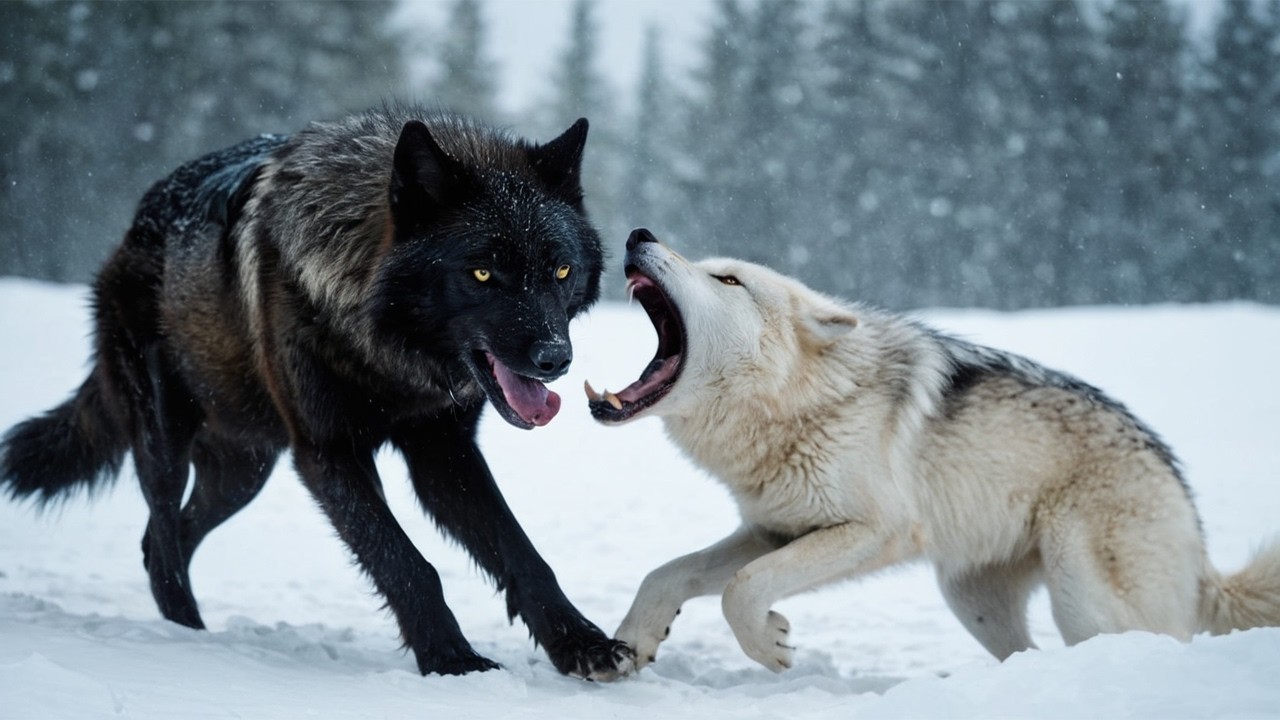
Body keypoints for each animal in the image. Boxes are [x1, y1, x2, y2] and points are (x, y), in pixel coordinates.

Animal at [0, 105, 633, 679]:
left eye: (560, 271)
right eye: (482, 273)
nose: (556, 359)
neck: (385, 351)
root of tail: (133, 225)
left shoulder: (442, 452)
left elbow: (523, 554)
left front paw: (582, 644)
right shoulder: (329, 453)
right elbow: (406, 564)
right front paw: (452, 661)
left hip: (244, 472)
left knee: (162, 540)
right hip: (164, 444)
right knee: (162, 537)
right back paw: (190, 642)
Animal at [587, 228, 1280, 673]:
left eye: (725, 278)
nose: (639, 232)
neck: (805, 402)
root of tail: (1182, 493)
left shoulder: (877, 530)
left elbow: (742, 588)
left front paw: (771, 646)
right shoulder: (773, 530)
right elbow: (668, 573)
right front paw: (631, 644)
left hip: (1084, 603)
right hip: (973, 601)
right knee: (1028, 655)